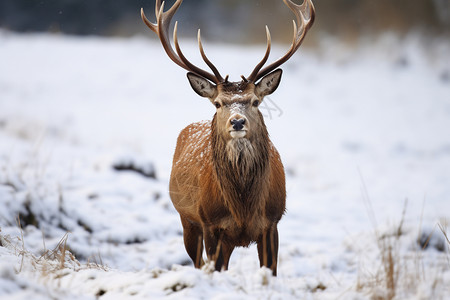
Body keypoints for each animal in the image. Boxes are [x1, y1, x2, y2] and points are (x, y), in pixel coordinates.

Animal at [140, 0, 312, 276]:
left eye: (255, 101)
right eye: (219, 103)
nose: (238, 121)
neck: (243, 207)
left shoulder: (273, 221)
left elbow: (270, 270)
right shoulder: (210, 222)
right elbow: (214, 267)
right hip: (187, 220)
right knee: (198, 262)